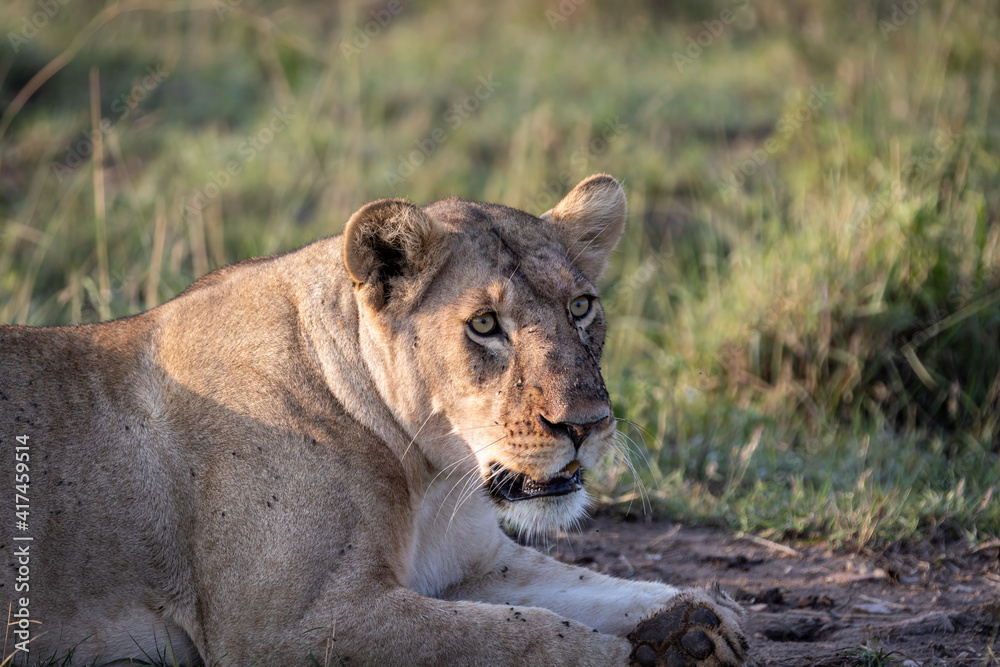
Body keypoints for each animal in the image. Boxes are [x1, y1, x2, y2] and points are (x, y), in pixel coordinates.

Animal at [1, 174, 747, 666]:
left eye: (582, 307)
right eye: (484, 324)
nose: (588, 424)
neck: (434, 482)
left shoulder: (478, 564)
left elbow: (585, 588)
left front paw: (699, 620)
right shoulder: (286, 629)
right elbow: (520, 634)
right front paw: (638, 653)